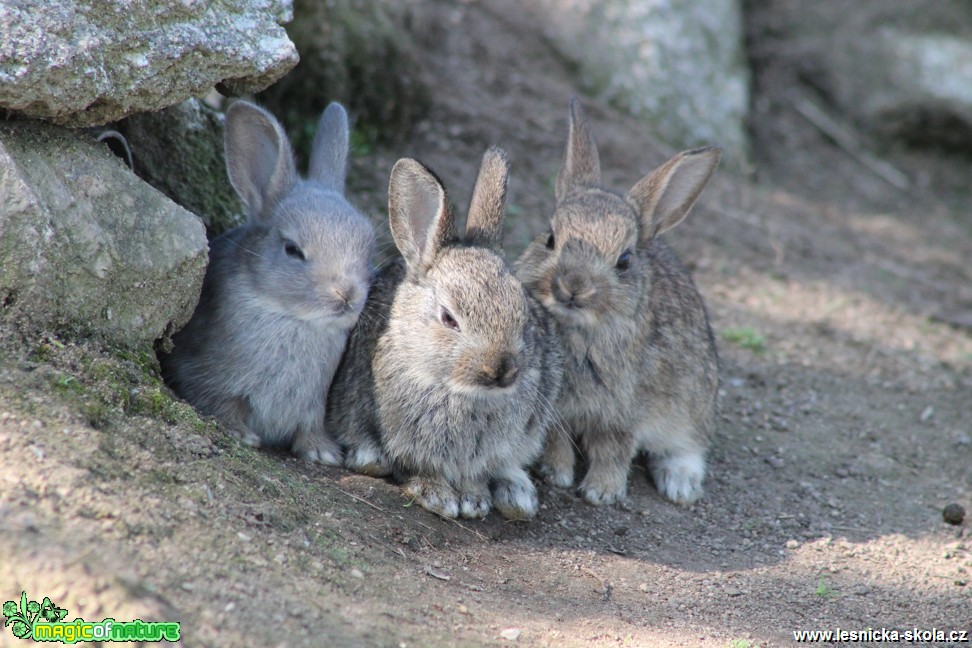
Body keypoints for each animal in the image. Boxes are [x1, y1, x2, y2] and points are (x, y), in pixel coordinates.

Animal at [161, 100, 374, 466]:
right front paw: (241, 434)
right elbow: (222, 403)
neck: (292, 318)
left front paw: (322, 452)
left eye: (368, 243)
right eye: (292, 250)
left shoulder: (312, 406)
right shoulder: (210, 378)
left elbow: (309, 426)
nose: (346, 294)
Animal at [330, 148, 564, 520]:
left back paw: (517, 497)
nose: (501, 370)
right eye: (448, 318)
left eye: (524, 312)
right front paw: (438, 496)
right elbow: (420, 468)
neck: (461, 392)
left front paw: (474, 500)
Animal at [516, 98, 720, 506]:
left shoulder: (624, 413)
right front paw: (557, 475)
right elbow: (557, 441)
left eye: (624, 261)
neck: (579, 330)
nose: (572, 286)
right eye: (550, 238)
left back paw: (680, 484)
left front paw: (601, 492)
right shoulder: (557, 410)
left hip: (693, 403)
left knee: (689, 446)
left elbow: (614, 450)